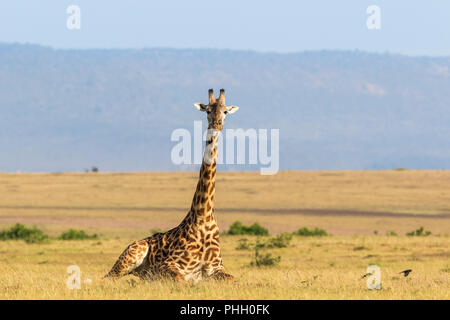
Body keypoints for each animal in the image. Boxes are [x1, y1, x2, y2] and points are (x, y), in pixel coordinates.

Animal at [104, 89, 239, 282]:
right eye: (207, 110)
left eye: (225, 111)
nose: (217, 124)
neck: (203, 217)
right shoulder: (167, 265)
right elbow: (181, 280)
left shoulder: (216, 267)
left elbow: (233, 279)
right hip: (131, 256)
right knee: (108, 277)